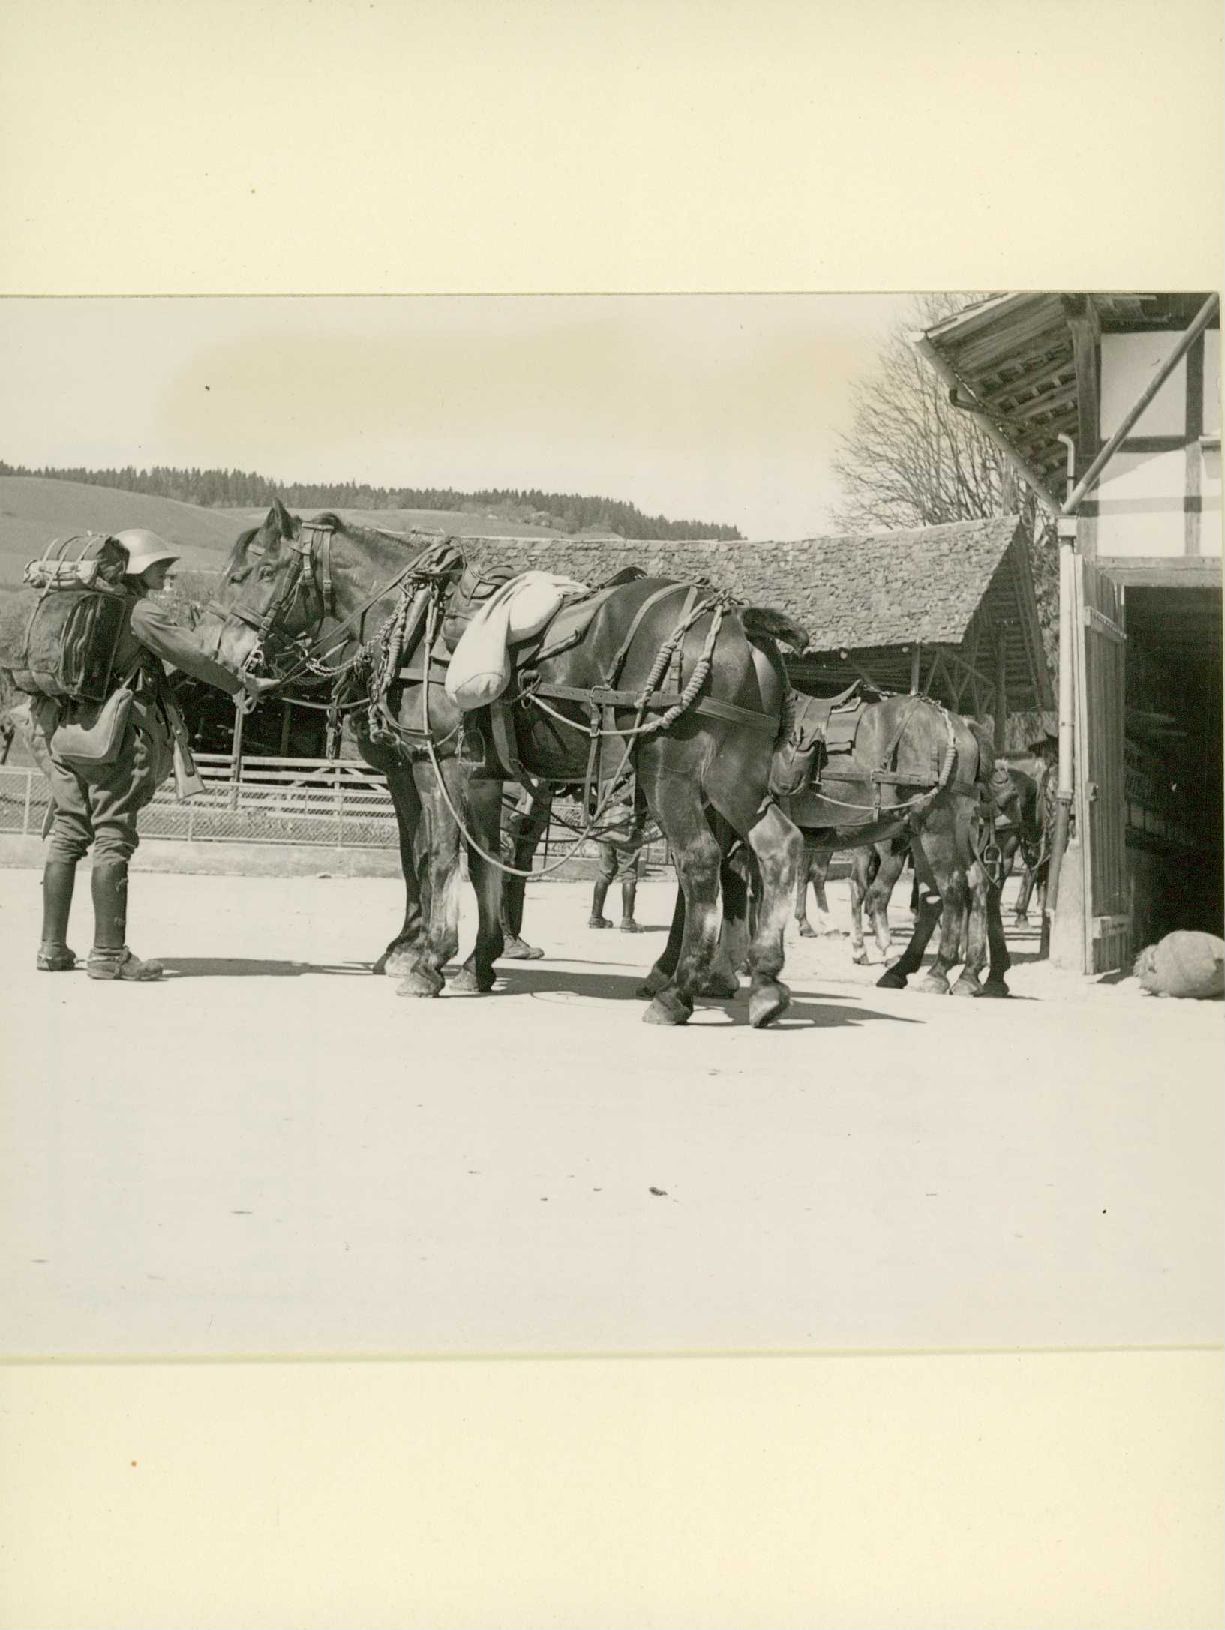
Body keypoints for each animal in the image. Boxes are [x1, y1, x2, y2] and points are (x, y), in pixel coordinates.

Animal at [201, 502, 808, 1028]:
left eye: (258, 571)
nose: (221, 652)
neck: (416, 628)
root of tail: (737, 621)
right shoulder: (481, 778)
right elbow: (483, 862)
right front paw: (478, 962)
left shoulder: (431, 767)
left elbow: (433, 859)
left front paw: (424, 960)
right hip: (732, 776)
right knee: (774, 848)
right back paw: (762, 982)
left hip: (673, 776)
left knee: (701, 863)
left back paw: (680, 989)